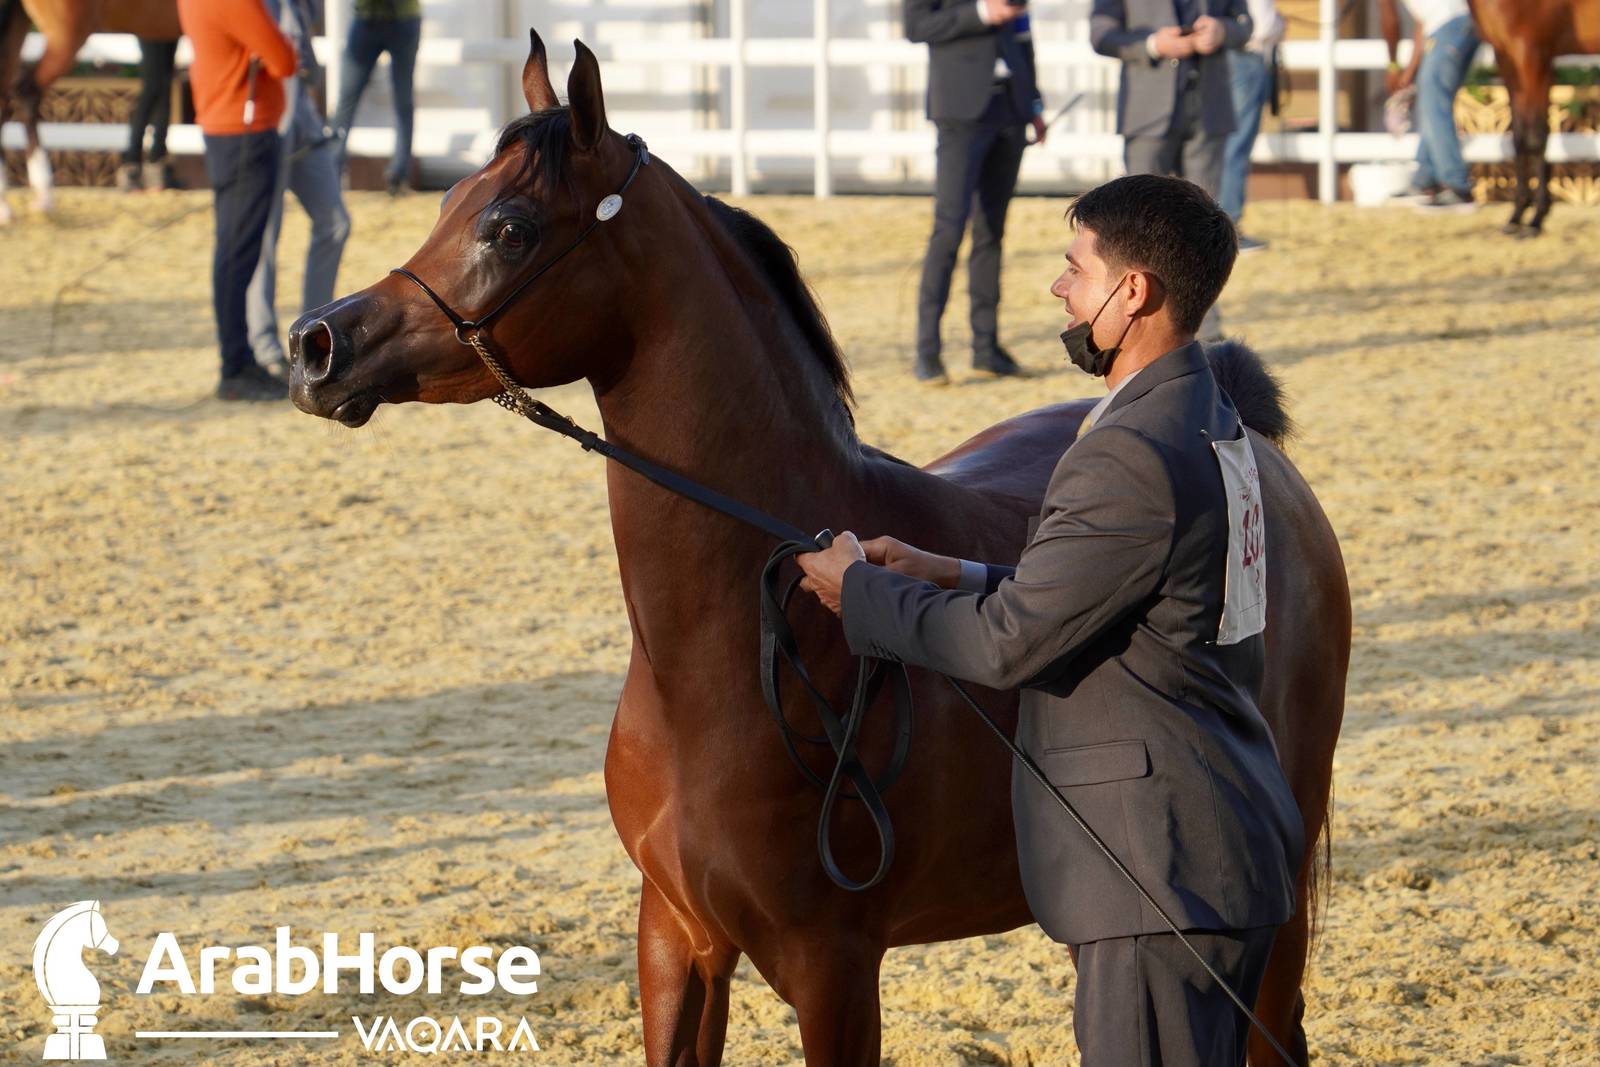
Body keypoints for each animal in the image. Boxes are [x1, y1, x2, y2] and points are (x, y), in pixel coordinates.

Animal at [287, 30, 1349, 1066]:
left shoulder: (831, 965)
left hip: (1267, 906)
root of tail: (1242, 425)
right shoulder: (675, 939)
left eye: (507, 226)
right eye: (448, 201)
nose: (315, 344)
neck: (735, 651)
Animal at [1469, 0, 1600, 237]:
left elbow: (1535, 138)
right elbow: (1520, 137)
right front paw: (1517, 216)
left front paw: (1536, 220)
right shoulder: (1508, 59)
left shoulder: (1532, 56)